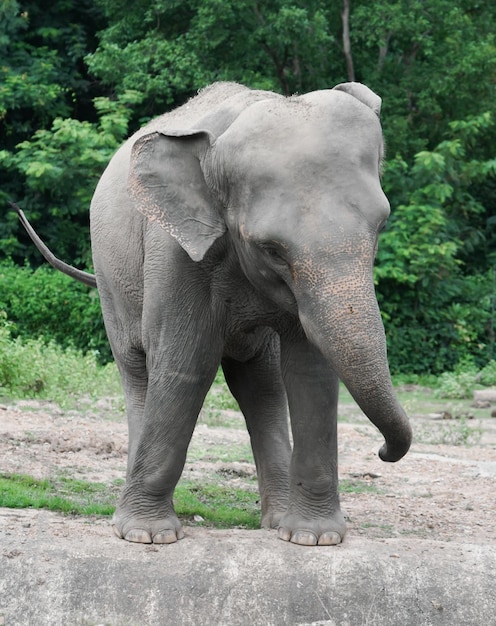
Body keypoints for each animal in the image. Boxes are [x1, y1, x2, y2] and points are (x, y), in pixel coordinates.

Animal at [14, 80, 410, 544]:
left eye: (381, 226)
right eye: (271, 249)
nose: (382, 451)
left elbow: (309, 369)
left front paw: (314, 538)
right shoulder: (176, 250)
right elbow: (186, 363)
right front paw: (149, 536)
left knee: (261, 383)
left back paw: (275, 518)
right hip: (111, 281)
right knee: (137, 370)